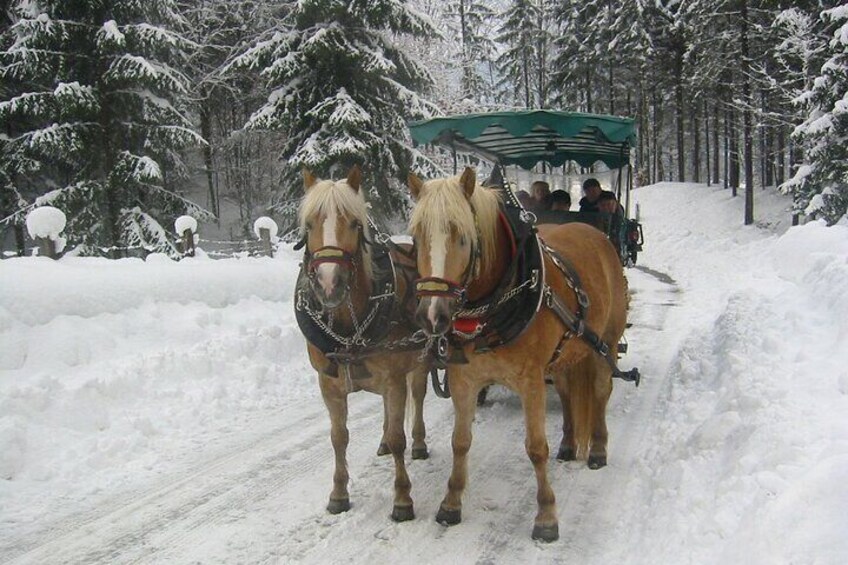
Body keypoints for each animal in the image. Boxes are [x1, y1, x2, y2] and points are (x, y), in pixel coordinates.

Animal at [298, 165, 430, 524]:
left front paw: (402, 499)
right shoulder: (328, 384)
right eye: (309, 224)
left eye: (356, 224)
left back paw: (419, 443)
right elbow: (338, 438)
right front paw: (339, 494)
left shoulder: (395, 377)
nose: (329, 283)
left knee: (418, 396)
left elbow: (399, 438)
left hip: (419, 361)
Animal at [404, 165, 628, 540]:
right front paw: (451, 503)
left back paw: (597, 448)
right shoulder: (464, 379)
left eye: (463, 237)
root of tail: (595, 233)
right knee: (567, 392)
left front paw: (546, 516)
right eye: (417, 238)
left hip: (605, 344)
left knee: (599, 390)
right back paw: (569, 445)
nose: (431, 316)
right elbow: (460, 441)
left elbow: (536, 448)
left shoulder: (530, 380)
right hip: (563, 356)